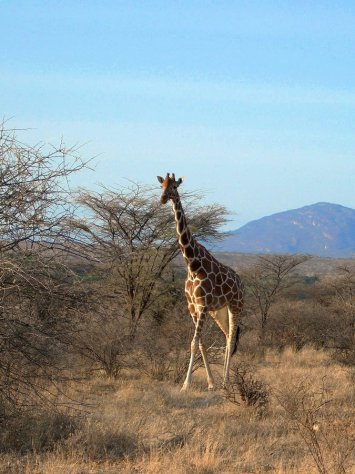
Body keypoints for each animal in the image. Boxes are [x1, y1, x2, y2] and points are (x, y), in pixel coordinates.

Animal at [158, 172, 245, 390]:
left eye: (174, 186)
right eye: (161, 185)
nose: (163, 199)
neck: (192, 263)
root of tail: (241, 282)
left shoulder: (203, 306)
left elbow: (193, 342)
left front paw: (186, 384)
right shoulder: (193, 307)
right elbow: (200, 343)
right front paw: (210, 383)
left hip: (236, 305)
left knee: (231, 339)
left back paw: (226, 382)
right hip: (219, 311)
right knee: (227, 336)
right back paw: (222, 381)